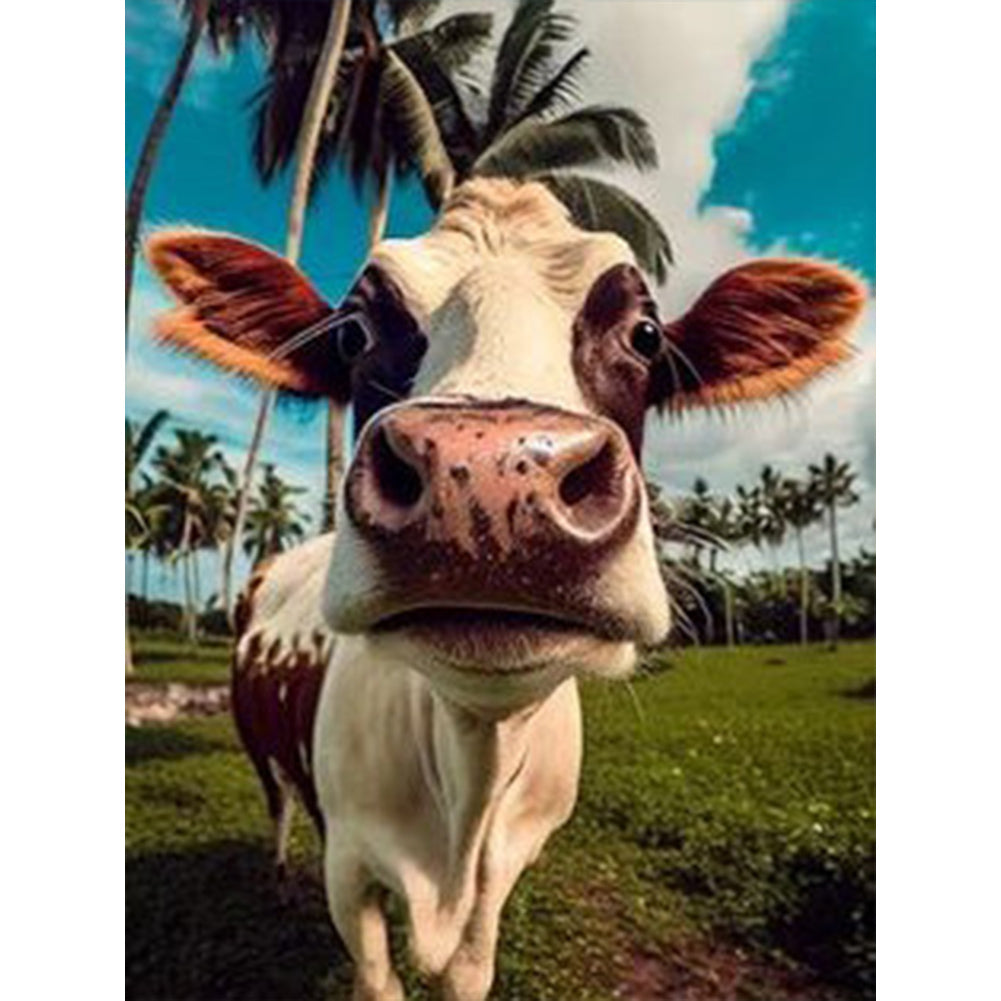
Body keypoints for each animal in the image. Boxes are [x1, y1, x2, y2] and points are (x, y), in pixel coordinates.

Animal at [145, 178, 865, 1001]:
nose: (488, 477)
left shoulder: (507, 868)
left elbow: (467, 975)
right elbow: (376, 975)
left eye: (647, 334)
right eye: (353, 333)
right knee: (278, 801)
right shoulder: (350, 866)